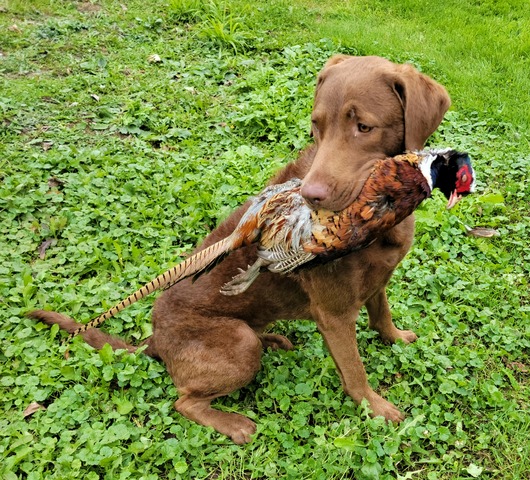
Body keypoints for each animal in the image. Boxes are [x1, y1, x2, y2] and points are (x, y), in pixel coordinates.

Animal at [29, 54, 450, 444]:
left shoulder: (379, 280)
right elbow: (355, 372)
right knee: (184, 401)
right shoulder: (334, 314)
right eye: (316, 125)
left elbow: (381, 314)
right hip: (238, 344)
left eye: (364, 127)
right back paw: (234, 424)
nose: (310, 197)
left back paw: (274, 341)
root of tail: (154, 339)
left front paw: (396, 338)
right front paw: (376, 408)